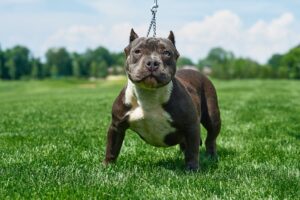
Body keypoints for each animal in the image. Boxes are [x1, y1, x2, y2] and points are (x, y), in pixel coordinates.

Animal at [104, 29, 221, 170]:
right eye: (137, 51)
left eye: (166, 53)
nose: (152, 63)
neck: (149, 94)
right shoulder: (116, 126)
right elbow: (112, 148)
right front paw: (107, 167)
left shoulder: (191, 125)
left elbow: (193, 151)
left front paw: (192, 168)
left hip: (212, 117)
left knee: (210, 138)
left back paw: (211, 157)